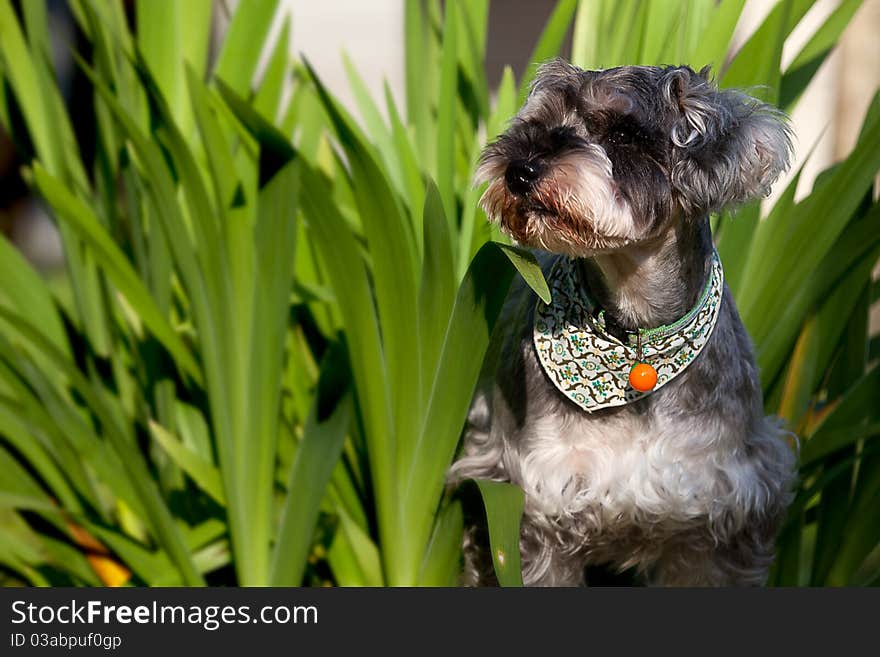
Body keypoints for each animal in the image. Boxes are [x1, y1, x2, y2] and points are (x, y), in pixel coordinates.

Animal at [450, 60, 800, 584]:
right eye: (538, 121)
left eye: (622, 132)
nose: (519, 170)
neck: (634, 338)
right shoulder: (537, 514)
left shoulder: (722, 520)